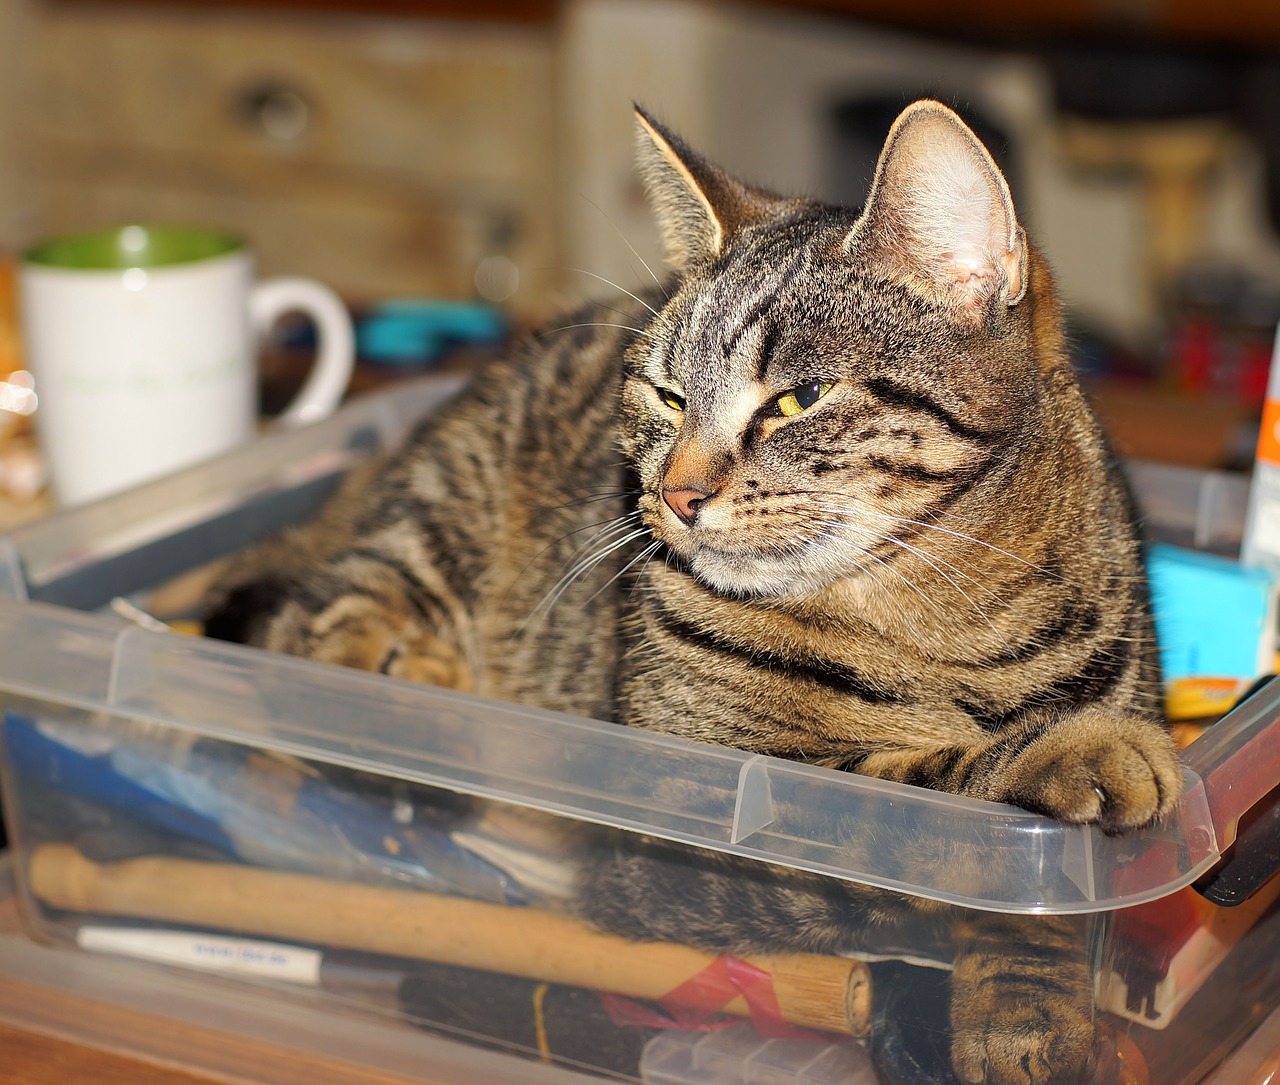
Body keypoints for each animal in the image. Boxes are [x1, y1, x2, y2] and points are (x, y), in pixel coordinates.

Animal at [207, 99, 1177, 1074]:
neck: (943, 624)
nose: (673, 495)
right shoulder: (686, 815)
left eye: (798, 399)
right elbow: (918, 802)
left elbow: (1036, 918)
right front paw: (1071, 751)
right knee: (315, 637)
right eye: (669, 397)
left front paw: (1029, 1019)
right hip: (428, 528)